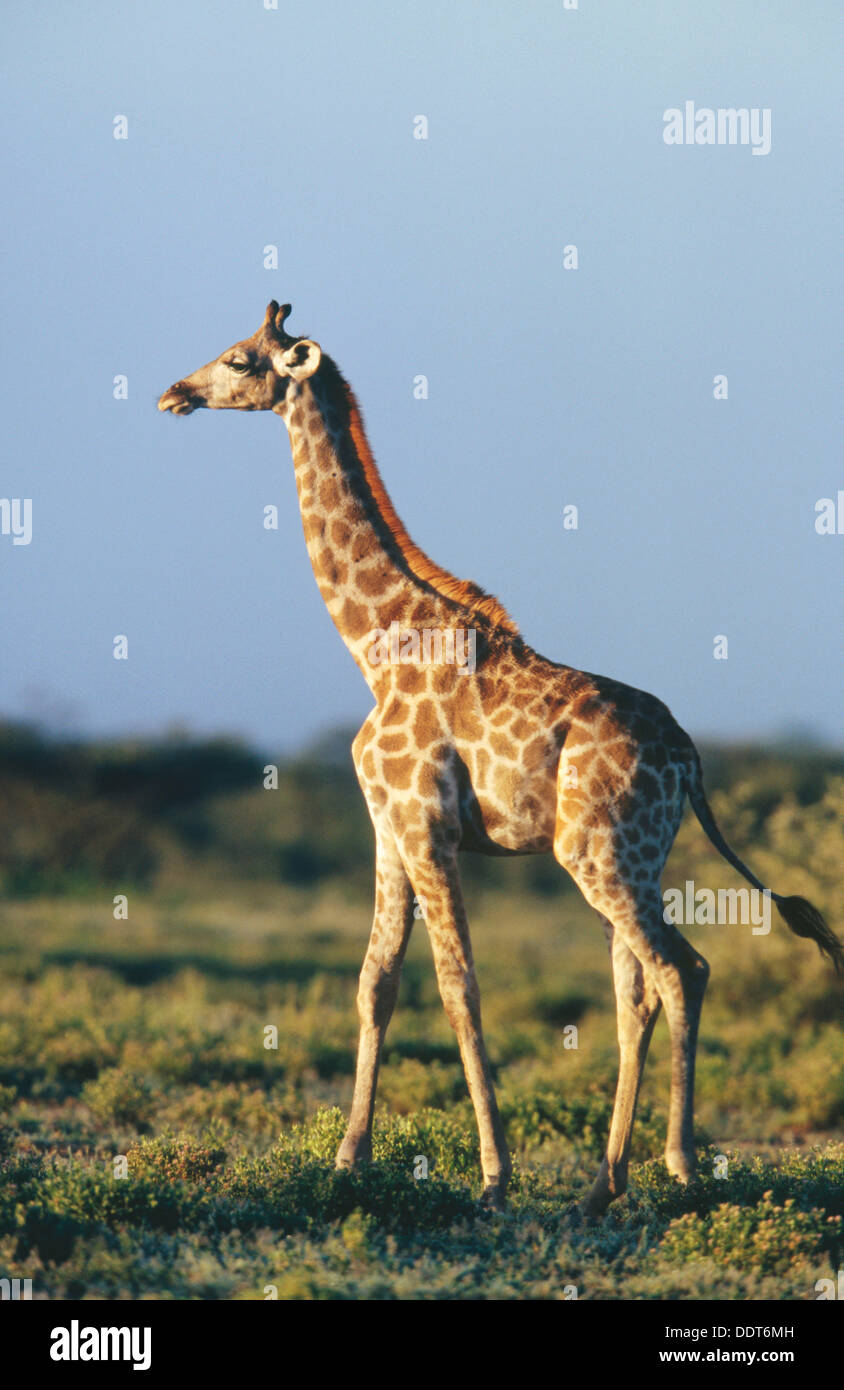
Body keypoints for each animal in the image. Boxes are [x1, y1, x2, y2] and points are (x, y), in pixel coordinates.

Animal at [158, 300, 842, 1216]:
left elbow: (460, 988)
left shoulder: (427, 828)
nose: (174, 392)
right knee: (635, 989)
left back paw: (680, 1168)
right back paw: (602, 1183)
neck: (375, 645)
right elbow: (376, 983)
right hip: (634, 856)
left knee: (681, 968)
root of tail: (692, 758)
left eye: (239, 358)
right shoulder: (386, 830)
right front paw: (347, 1161)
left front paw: (492, 1176)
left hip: (596, 853)